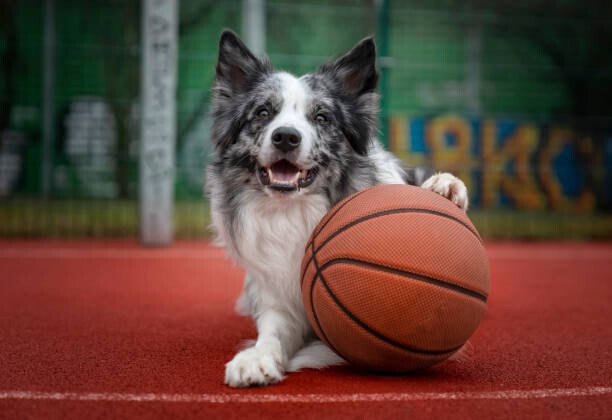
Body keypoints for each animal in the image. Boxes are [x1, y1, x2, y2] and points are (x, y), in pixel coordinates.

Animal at [206, 31, 468, 388]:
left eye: (321, 118)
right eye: (262, 113)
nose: (285, 137)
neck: (294, 211)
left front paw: (445, 186)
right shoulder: (278, 299)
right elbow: (273, 332)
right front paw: (256, 359)